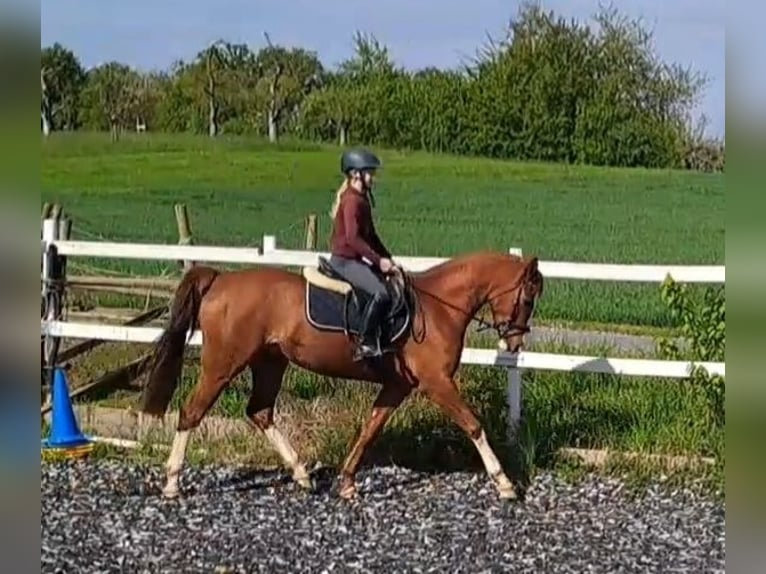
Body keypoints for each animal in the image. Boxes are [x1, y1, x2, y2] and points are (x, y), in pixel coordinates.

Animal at [140, 250, 544, 502]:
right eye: (527, 298)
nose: (515, 342)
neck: (438, 307)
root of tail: (221, 280)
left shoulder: (398, 386)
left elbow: (370, 428)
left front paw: (347, 482)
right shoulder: (437, 383)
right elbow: (473, 425)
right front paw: (505, 484)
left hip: (269, 362)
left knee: (260, 412)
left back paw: (302, 474)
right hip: (223, 364)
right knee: (192, 412)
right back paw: (172, 483)